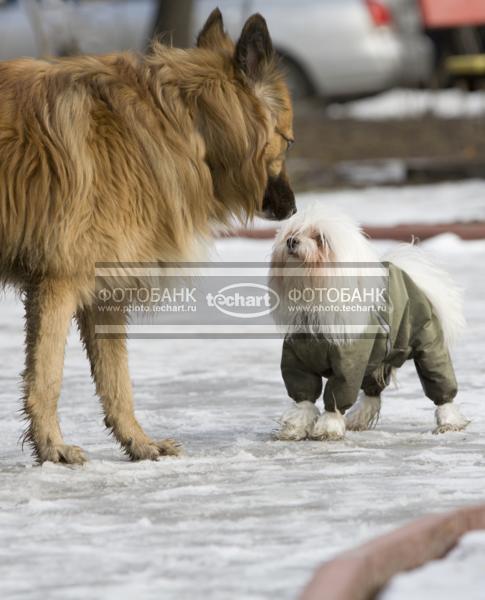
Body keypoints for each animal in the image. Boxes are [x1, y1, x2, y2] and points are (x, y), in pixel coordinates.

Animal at [0, 9, 294, 466]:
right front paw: (52, 447)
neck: (184, 122)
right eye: (288, 141)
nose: (292, 208)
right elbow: (47, 376)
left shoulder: (103, 292)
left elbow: (117, 380)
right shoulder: (58, 282)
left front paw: (138, 443)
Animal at [268, 206, 468, 440]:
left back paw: (449, 422)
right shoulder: (299, 362)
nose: (291, 241)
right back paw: (357, 420)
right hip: (376, 359)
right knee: (372, 394)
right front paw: (295, 428)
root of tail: (415, 279)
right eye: (293, 232)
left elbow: (336, 396)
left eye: (320, 239)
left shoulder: (348, 365)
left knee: (440, 385)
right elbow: (303, 398)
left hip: (429, 348)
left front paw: (328, 428)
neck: (314, 299)